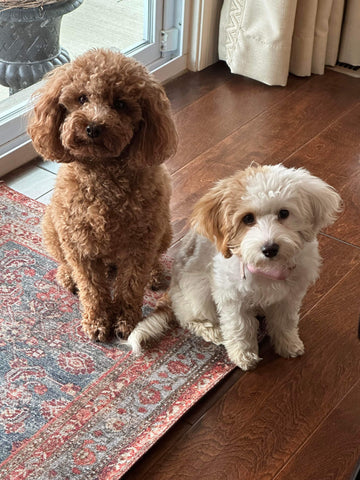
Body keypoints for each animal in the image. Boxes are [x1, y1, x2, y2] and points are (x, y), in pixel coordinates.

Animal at [128, 165, 342, 372]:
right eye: (247, 219)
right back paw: (214, 332)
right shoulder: (232, 299)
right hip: (198, 291)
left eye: (284, 213)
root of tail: (171, 291)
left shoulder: (288, 296)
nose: (270, 249)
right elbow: (240, 329)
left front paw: (288, 345)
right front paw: (244, 356)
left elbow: (285, 322)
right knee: (191, 319)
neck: (267, 269)